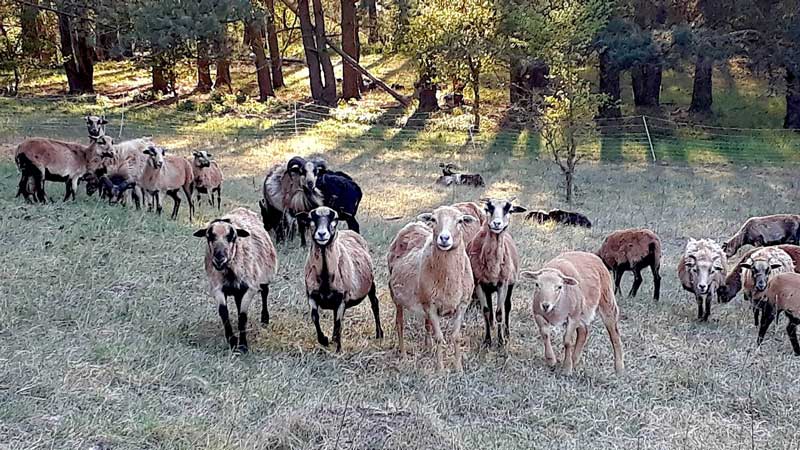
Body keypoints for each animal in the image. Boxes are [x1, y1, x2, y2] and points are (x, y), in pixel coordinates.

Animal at [193, 208, 278, 353]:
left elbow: (243, 316)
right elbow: (224, 313)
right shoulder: (217, 288)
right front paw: (232, 341)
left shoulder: (250, 287)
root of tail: (242, 209)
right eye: (209, 236)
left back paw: (265, 319)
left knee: (265, 293)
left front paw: (243, 345)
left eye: (232, 237)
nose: (219, 259)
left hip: (264, 275)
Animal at [297, 207, 383, 352]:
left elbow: (338, 323)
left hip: (371, 283)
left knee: (375, 304)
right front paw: (324, 340)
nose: (322, 234)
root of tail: (349, 231)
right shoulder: (311, 295)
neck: (325, 277)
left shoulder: (342, 298)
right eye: (310, 218)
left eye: (335, 219)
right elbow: (315, 317)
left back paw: (379, 334)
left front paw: (338, 349)